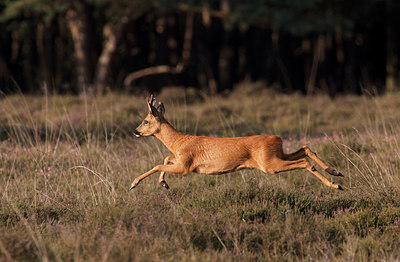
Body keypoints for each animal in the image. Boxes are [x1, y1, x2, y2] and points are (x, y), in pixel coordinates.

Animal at [130, 96, 342, 190]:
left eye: (146, 121)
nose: (135, 131)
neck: (178, 142)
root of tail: (277, 138)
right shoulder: (181, 160)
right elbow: (166, 158)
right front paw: (164, 183)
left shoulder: (186, 166)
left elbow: (158, 163)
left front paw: (134, 183)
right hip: (277, 155)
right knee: (305, 149)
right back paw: (335, 173)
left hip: (269, 164)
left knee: (304, 162)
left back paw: (335, 185)